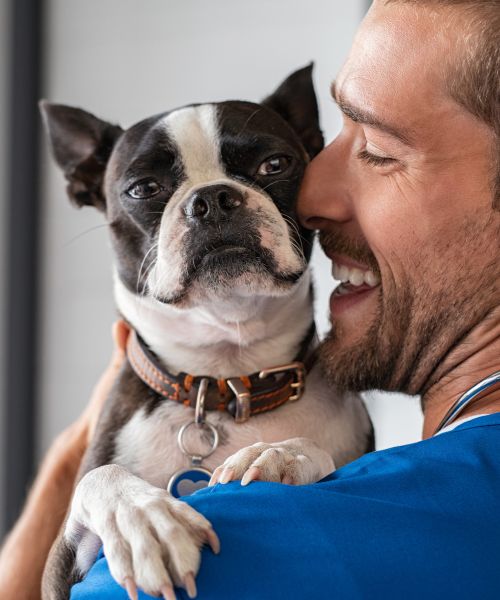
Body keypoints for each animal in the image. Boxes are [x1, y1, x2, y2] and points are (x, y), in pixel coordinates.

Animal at [40, 63, 376, 596]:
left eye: (275, 165)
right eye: (143, 188)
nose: (213, 198)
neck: (224, 377)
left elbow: (315, 451)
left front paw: (282, 454)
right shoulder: (57, 567)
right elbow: (100, 478)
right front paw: (144, 519)